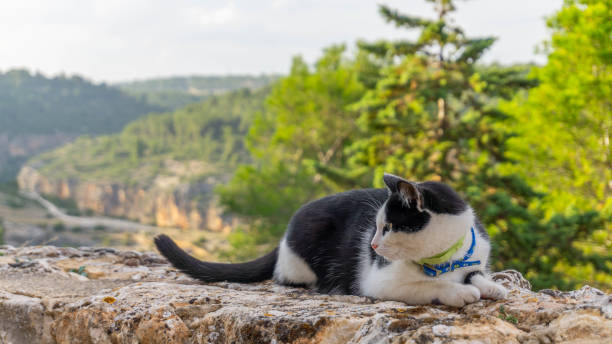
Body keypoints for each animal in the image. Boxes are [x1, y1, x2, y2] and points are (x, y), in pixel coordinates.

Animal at [157, 173, 506, 308]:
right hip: (303, 258)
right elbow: (427, 285)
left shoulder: (475, 255)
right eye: (376, 226)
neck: (444, 258)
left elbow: (476, 273)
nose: (373, 246)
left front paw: (492, 286)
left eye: (389, 226)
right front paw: (458, 292)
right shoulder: (379, 282)